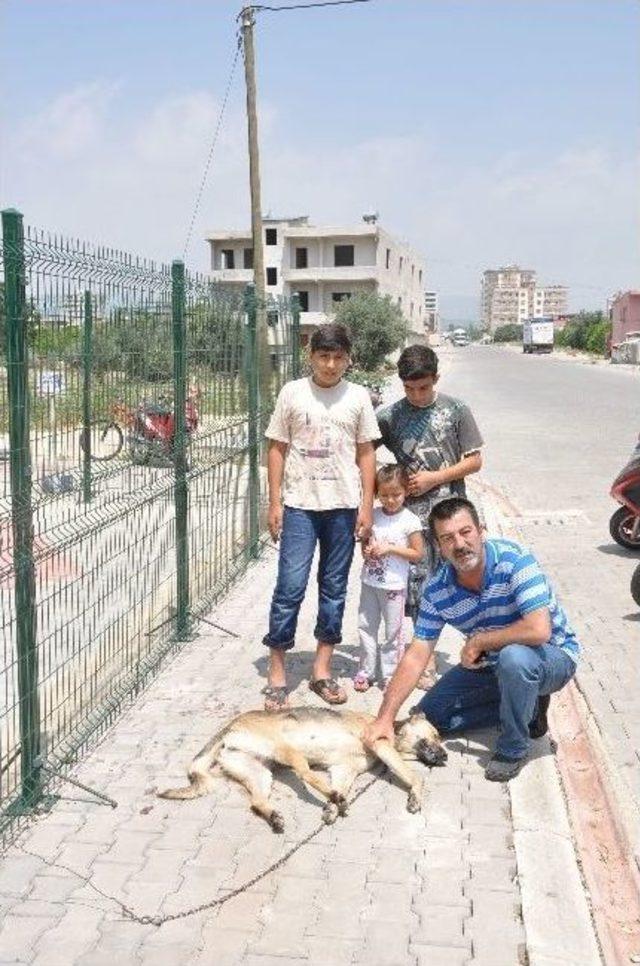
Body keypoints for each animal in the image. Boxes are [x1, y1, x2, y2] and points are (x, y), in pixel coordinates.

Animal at [158, 704, 448, 832]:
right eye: (435, 735)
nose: (446, 756)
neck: (394, 731)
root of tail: (229, 728)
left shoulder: (344, 770)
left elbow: (341, 784)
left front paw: (332, 809)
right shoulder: (383, 748)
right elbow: (414, 777)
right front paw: (415, 797)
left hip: (260, 772)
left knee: (257, 802)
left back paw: (279, 815)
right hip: (288, 751)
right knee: (306, 774)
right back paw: (333, 796)